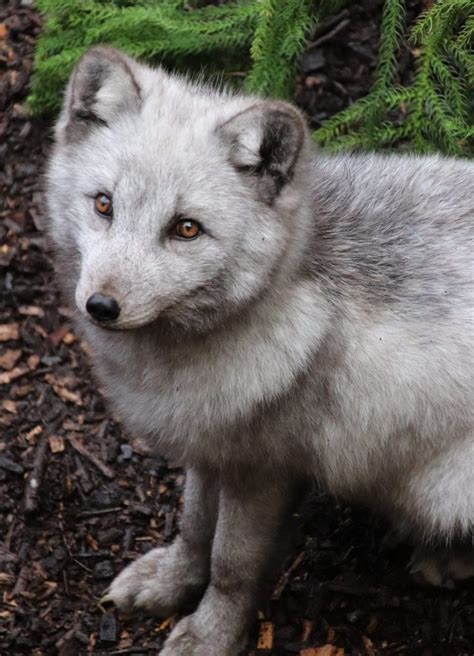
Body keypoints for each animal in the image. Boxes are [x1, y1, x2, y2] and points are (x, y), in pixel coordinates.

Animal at [45, 47, 474, 656]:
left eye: (186, 229)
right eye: (104, 204)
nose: (101, 306)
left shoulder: (264, 470)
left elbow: (232, 564)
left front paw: (211, 634)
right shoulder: (212, 447)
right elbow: (193, 529)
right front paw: (171, 584)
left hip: (442, 490)